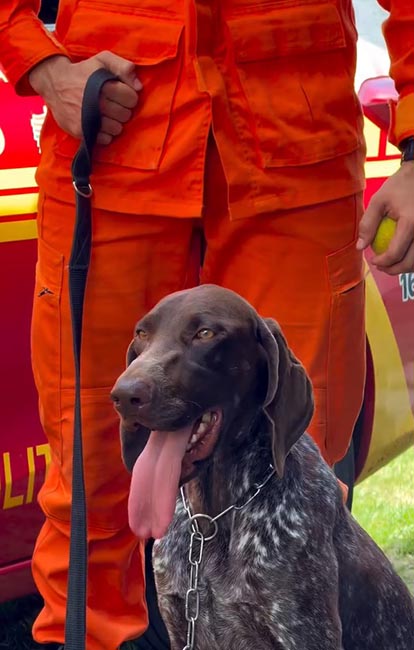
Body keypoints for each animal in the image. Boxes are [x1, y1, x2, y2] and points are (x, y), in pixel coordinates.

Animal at [111, 284, 414, 649]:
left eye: (205, 333)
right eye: (142, 334)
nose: (124, 395)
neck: (213, 519)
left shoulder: (304, 631)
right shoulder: (180, 620)